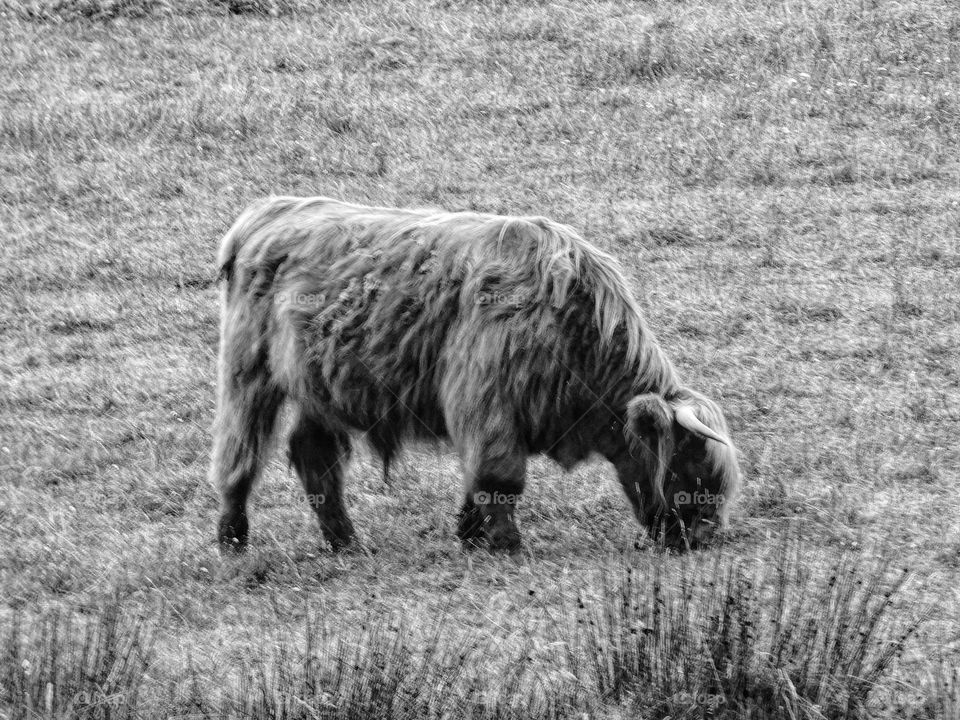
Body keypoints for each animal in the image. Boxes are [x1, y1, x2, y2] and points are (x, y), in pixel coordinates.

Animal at [209, 196, 740, 554]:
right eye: (689, 467)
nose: (701, 538)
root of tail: (269, 211)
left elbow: (477, 478)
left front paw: (469, 534)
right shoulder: (486, 397)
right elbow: (499, 475)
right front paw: (506, 542)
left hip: (321, 384)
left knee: (313, 453)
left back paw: (346, 541)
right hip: (249, 371)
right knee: (240, 452)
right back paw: (233, 536)